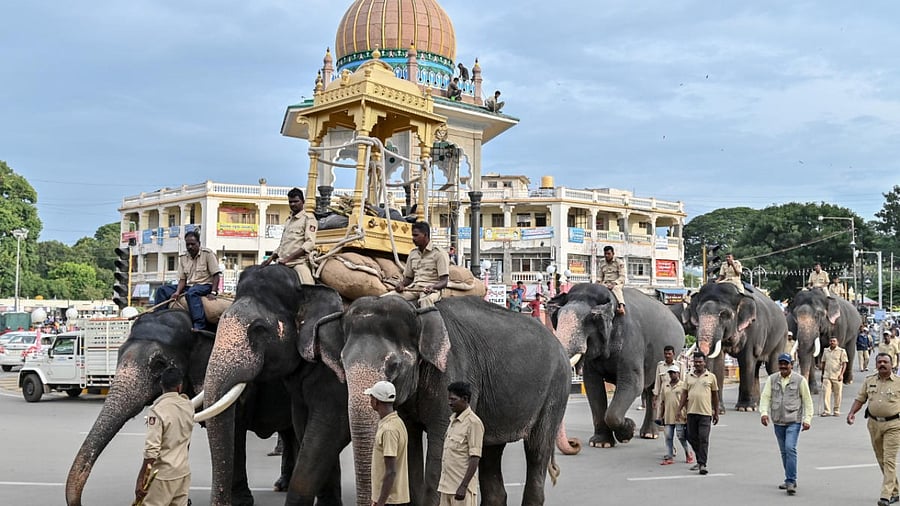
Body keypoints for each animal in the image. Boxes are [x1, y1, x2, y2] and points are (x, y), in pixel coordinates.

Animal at [65, 308, 295, 506]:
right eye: (118, 353)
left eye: (159, 363)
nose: (80, 503)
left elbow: (235, 429)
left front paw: (240, 502)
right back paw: (282, 485)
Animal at [197, 264, 350, 506]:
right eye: (218, 323)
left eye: (259, 329)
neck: (306, 286)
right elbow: (308, 430)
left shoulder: (337, 373)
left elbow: (329, 429)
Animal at [311, 295, 575, 506]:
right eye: (343, 363)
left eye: (393, 365)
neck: (418, 311)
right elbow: (411, 443)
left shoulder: (452, 370)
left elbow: (440, 442)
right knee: (490, 452)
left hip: (555, 390)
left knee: (537, 450)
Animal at [550, 283, 684, 447]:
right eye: (557, 318)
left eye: (591, 319)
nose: (573, 442)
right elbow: (592, 386)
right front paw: (601, 443)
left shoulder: (631, 341)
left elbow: (632, 383)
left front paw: (627, 432)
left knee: (654, 389)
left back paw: (650, 434)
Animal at [689, 282, 788, 411]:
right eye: (698, 313)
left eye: (724, 315)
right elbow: (718, 360)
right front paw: (717, 410)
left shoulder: (753, 328)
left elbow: (747, 360)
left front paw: (745, 408)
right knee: (756, 368)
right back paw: (756, 404)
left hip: (781, 338)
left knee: (773, 366)